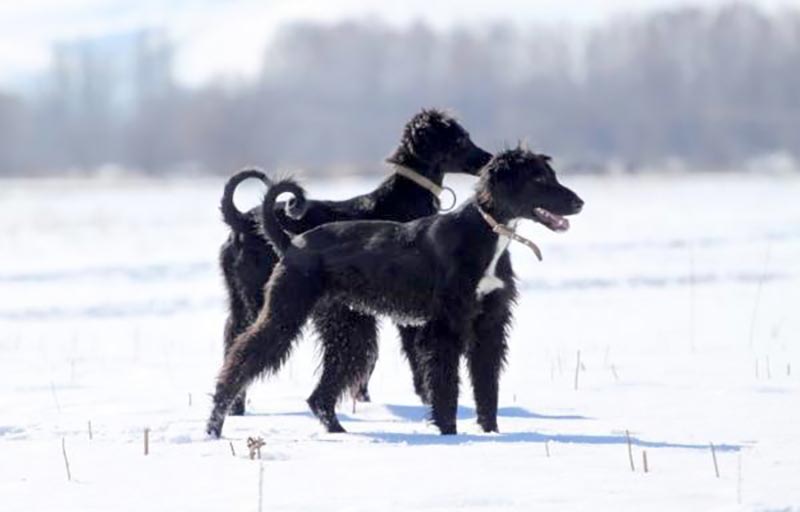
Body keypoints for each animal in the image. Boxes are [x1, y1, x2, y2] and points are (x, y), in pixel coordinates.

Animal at [206, 146, 580, 438]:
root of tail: (291, 242)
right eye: (538, 179)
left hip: (348, 328)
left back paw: (339, 433)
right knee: (238, 362)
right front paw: (450, 435)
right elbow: (445, 386)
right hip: (285, 312)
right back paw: (215, 426)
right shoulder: (445, 327)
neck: (485, 235)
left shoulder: (489, 326)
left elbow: (487, 387)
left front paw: (491, 434)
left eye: (550, 174)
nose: (579, 203)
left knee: (321, 395)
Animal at [217, 109, 488, 416]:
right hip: (261, 295)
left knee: (232, 339)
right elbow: (412, 353)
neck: (403, 197)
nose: (489, 160)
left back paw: (235, 408)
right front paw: (426, 396)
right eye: (460, 139)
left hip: (241, 298)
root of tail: (240, 221)